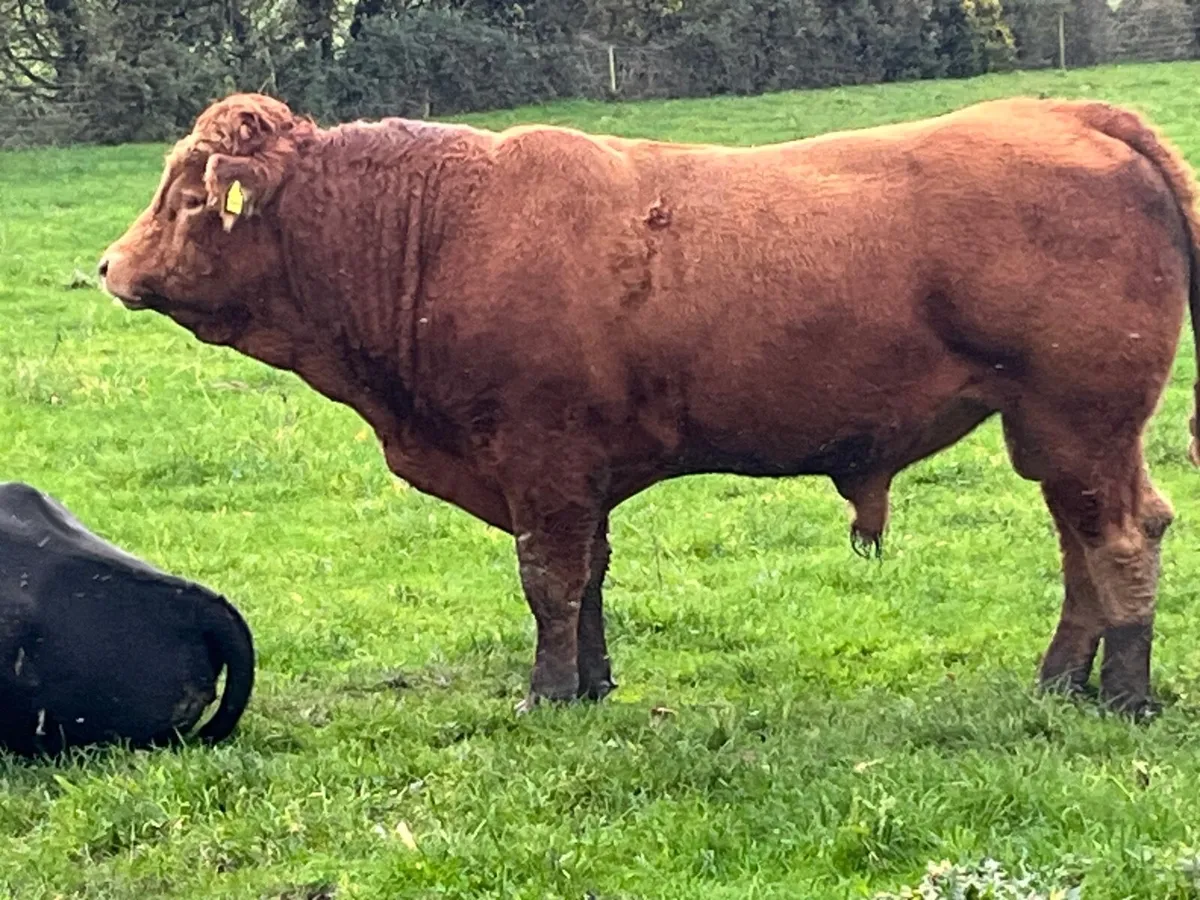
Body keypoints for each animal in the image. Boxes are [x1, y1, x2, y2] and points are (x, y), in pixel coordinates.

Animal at [99, 92, 1200, 717]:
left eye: (187, 195)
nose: (110, 265)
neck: (440, 229)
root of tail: (1066, 114)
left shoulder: (541, 460)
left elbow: (547, 579)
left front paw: (547, 697)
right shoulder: (581, 474)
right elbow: (587, 579)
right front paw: (592, 685)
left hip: (1082, 422)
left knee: (1121, 538)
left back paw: (1123, 699)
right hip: (1054, 435)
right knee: (1081, 544)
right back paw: (1059, 683)